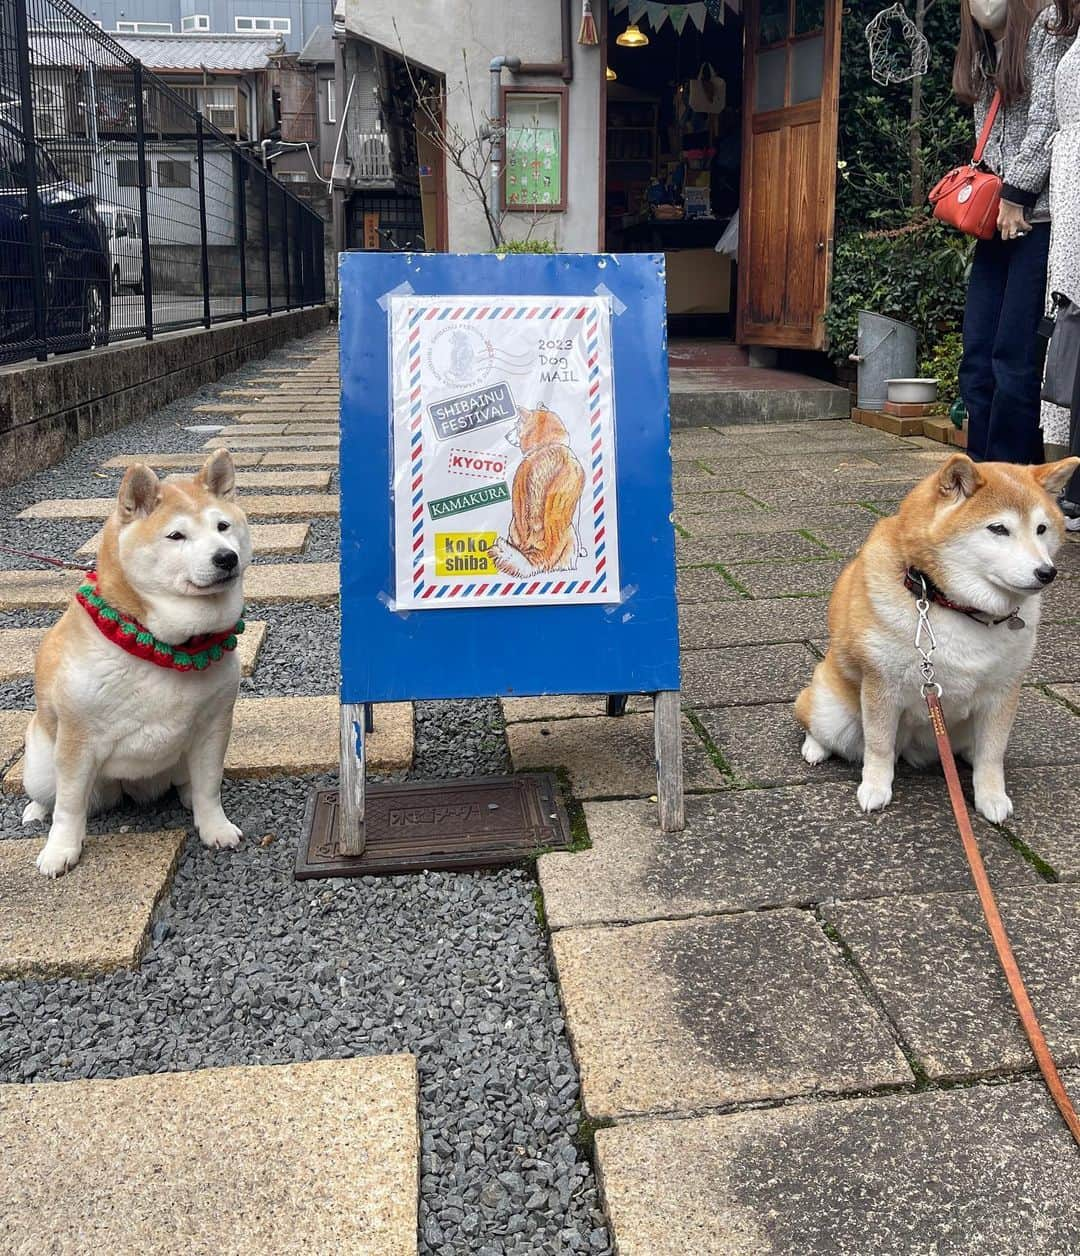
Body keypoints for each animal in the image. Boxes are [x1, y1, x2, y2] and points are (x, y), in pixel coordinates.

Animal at [22, 449, 251, 874]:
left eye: (223, 526)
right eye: (176, 536)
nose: (226, 557)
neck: (165, 645)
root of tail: (131, 788)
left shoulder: (213, 727)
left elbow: (209, 786)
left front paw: (214, 826)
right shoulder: (77, 741)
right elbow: (69, 806)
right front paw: (61, 849)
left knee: (188, 782)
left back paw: (188, 796)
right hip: (43, 764)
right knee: (53, 796)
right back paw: (36, 810)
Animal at [793, 452, 1080, 823]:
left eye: (1041, 529)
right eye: (998, 529)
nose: (1047, 572)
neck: (956, 607)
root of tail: (912, 748)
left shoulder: (1002, 693)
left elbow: (992, 754)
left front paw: (991, 796)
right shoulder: (881, 687)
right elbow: (879, 747)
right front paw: (874, 789)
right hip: (833, 713)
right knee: (820, 725)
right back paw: (815, 748)